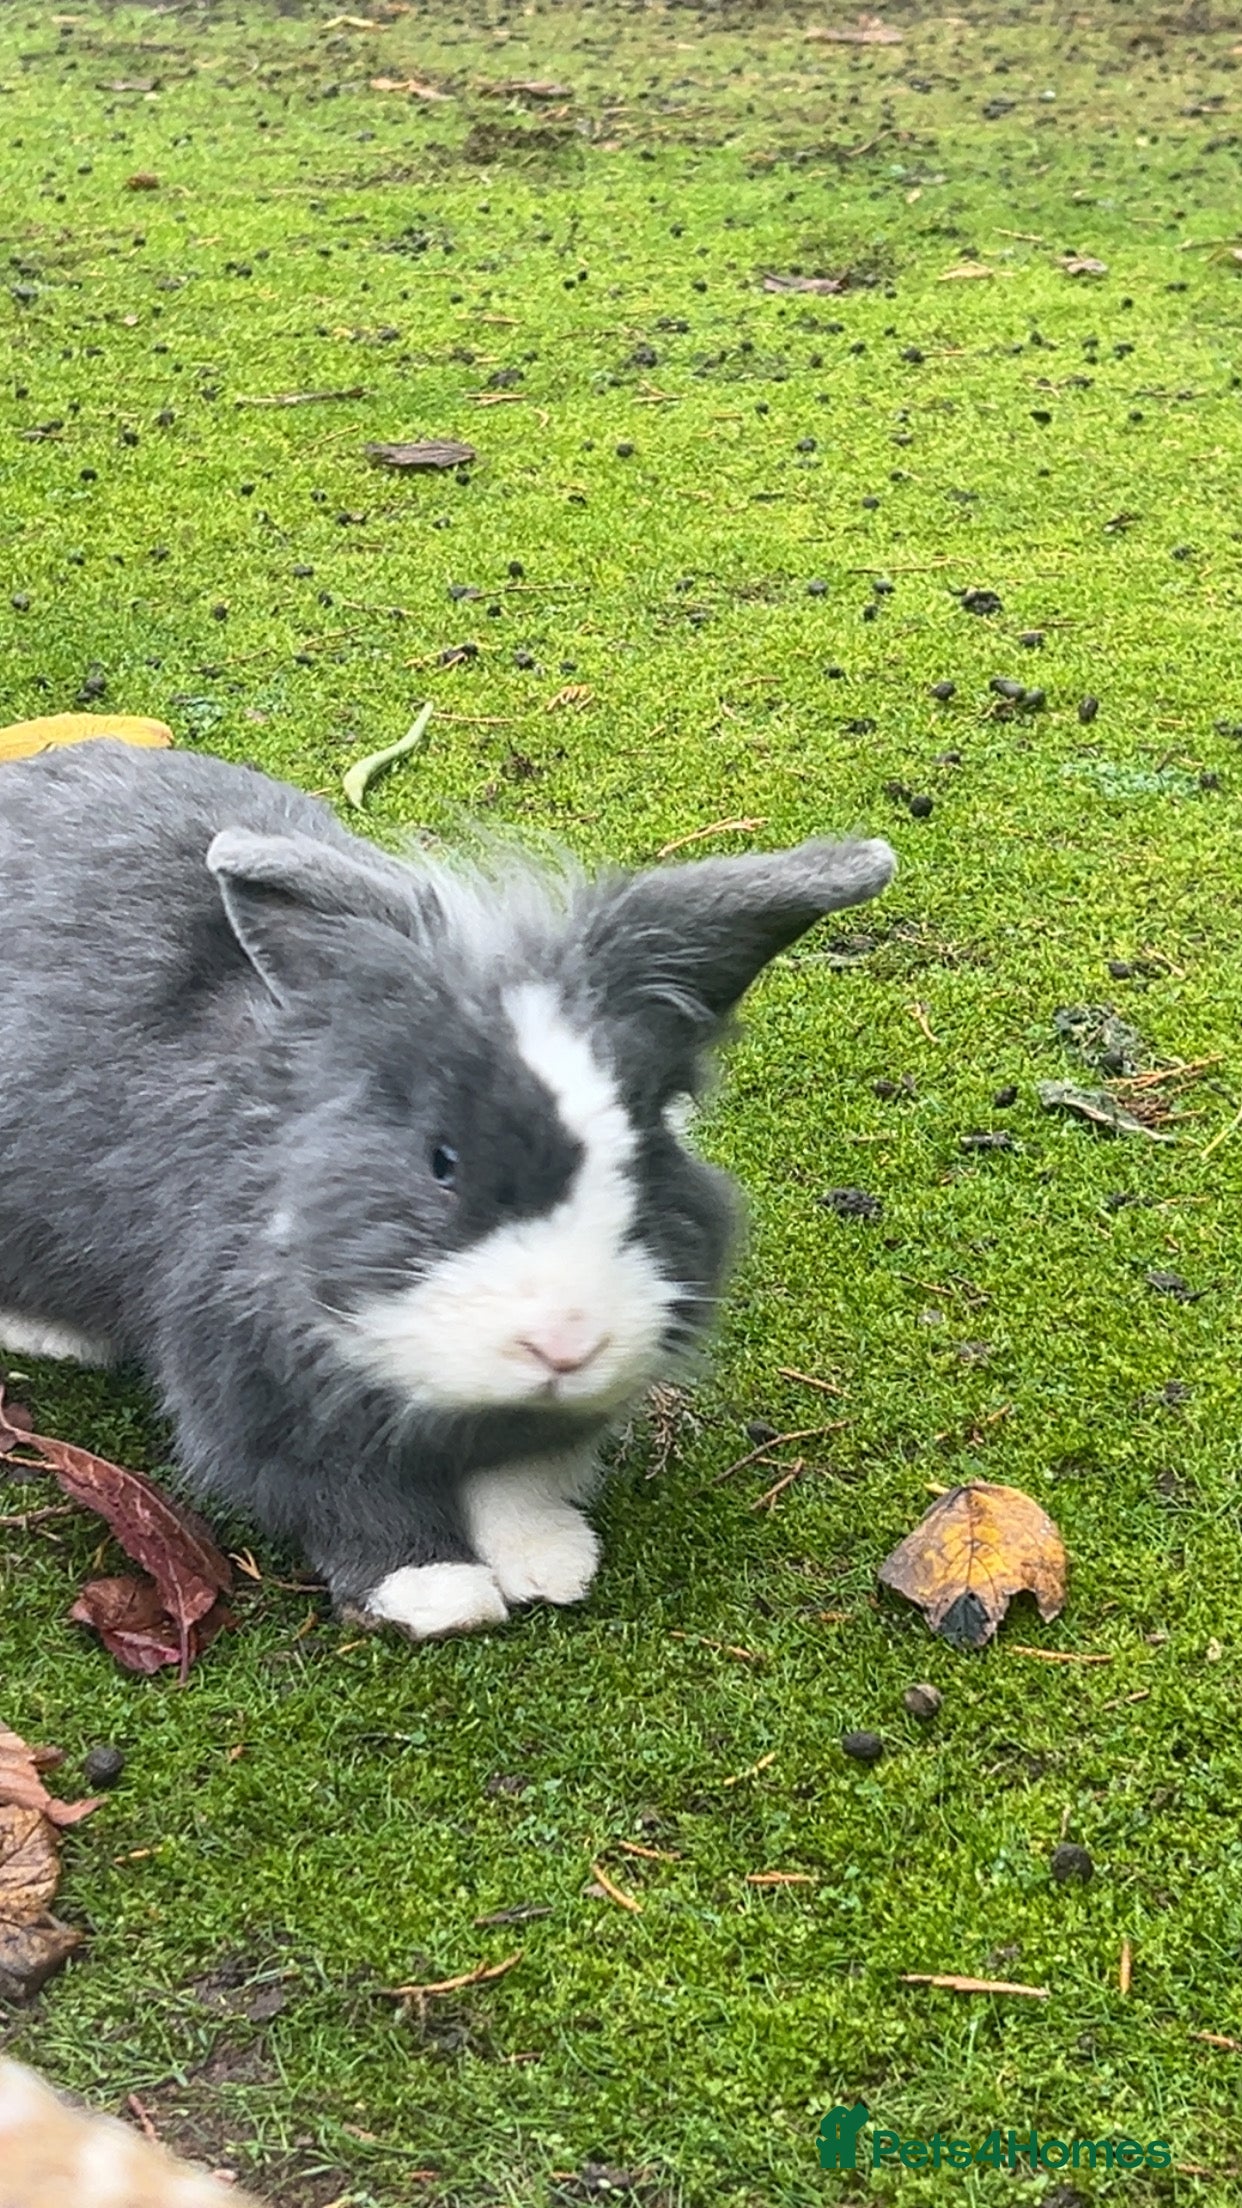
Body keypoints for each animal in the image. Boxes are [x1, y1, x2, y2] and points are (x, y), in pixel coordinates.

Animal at [0, 740, 895, 1640]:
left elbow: (519, 1482)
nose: (567, 1345)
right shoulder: (258, 1396)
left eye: (648, 1146)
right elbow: (347, 1498)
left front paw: (552, 1562)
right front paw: (438, 1595)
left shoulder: (540, 1425)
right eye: (442, 1159)